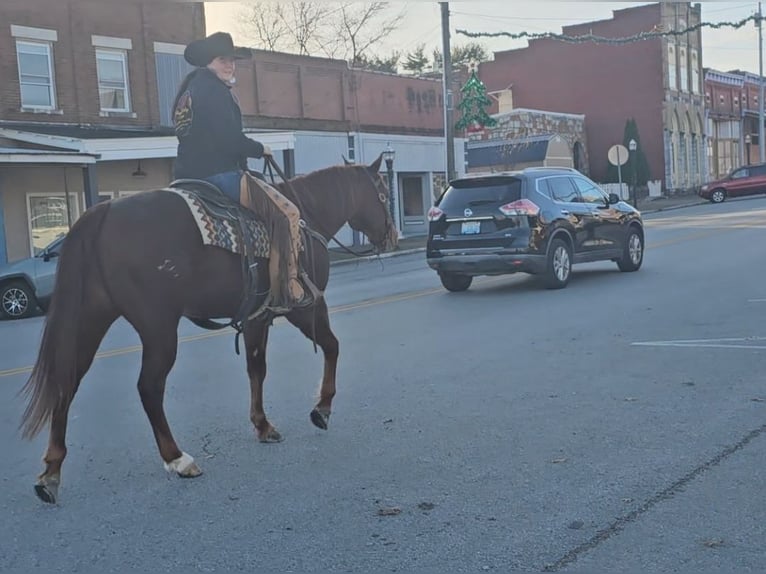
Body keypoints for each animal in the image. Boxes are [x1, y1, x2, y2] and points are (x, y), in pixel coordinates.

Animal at [21, 155, 400, 506]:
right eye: (382, 192)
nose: (392, 236)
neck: (309, 213)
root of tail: (104, 211)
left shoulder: (256, 318)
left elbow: (256, 368)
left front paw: (263, 425)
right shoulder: (305, 306)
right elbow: (332, 346)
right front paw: (322, 408)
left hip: (92, 317)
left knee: (67, 382)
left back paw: (51, 472)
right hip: (158, 326)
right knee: (149, 387)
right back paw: (177, 458)